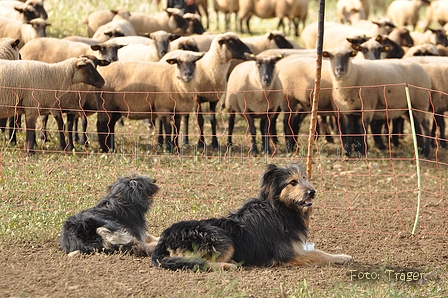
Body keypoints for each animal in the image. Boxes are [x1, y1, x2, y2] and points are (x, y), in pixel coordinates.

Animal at [151, 163, 354, 270]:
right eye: (293, 182)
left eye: (305, 178)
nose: (312, 192)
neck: (280, 208)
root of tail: (166, 236)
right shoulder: (289, 255)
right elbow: (318, 254)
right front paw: (342, 257)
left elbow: (319, 251)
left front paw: (342, 256)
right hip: (222, 239)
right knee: (200, 261)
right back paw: (228, 265)